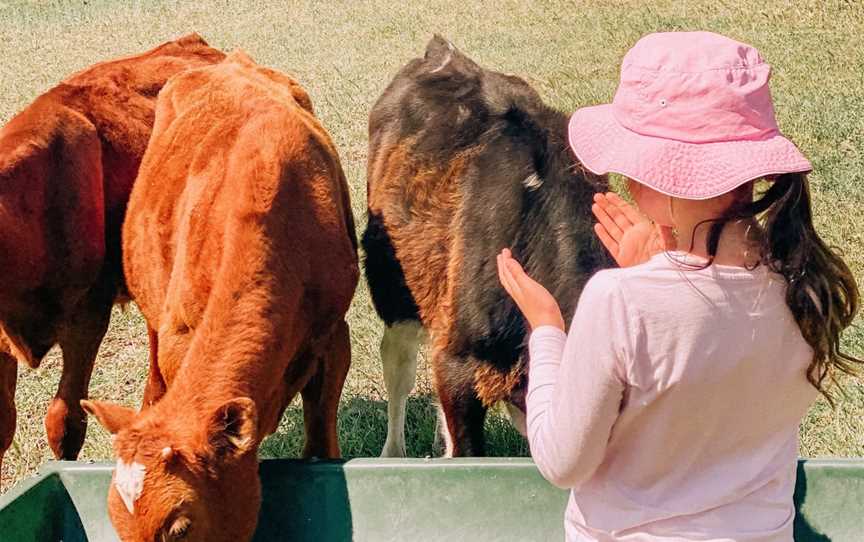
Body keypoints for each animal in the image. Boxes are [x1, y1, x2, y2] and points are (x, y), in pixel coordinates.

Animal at [82, 51, 360, 542]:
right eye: (115, 523)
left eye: (178, 527)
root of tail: (231, 61)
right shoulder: (179, 337)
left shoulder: (333, 335)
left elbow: (321, 435)